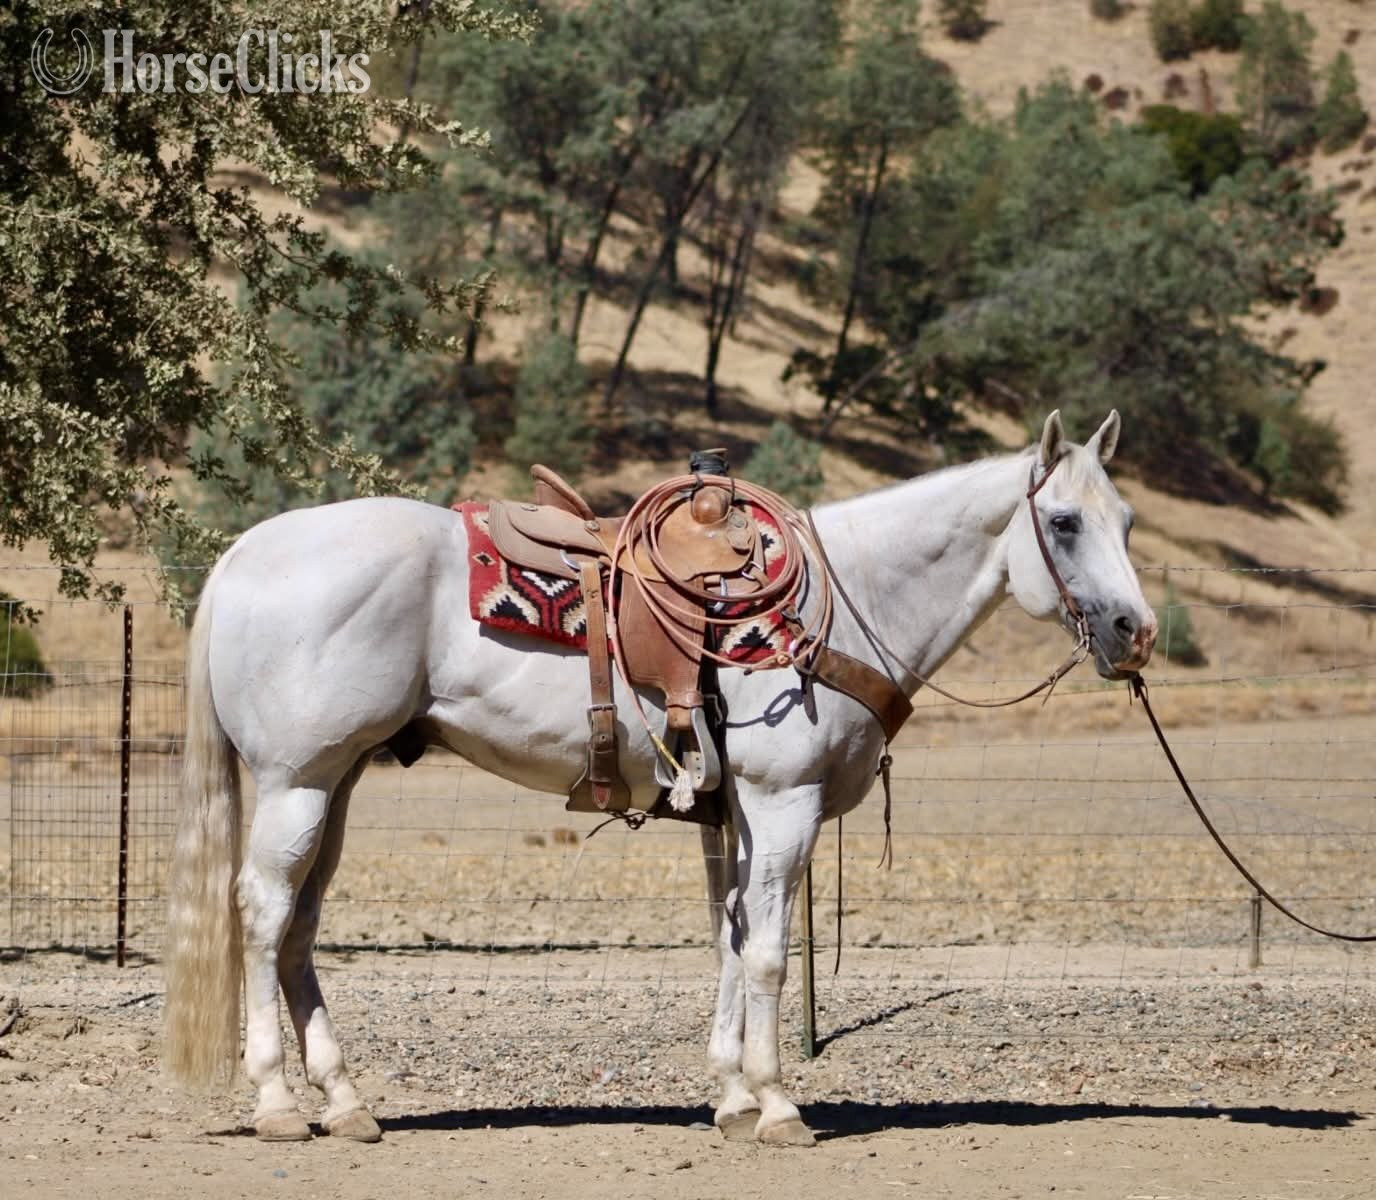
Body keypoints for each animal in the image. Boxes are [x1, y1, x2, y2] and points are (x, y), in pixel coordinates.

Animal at [162, 409, 1156, 1146]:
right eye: (1064, 522)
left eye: (1127, 522)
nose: (1136, 632)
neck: (844, 599)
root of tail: (244, 552)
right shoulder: (782, 805)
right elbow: (767, 952)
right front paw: (778, 1105)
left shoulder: (733, 813)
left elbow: (730, 939)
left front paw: (732, 1096)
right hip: (297, 781)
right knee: (263, 913)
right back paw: (278, 1104)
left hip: (336, 785)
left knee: (299, 928)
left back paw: (344, 1101)